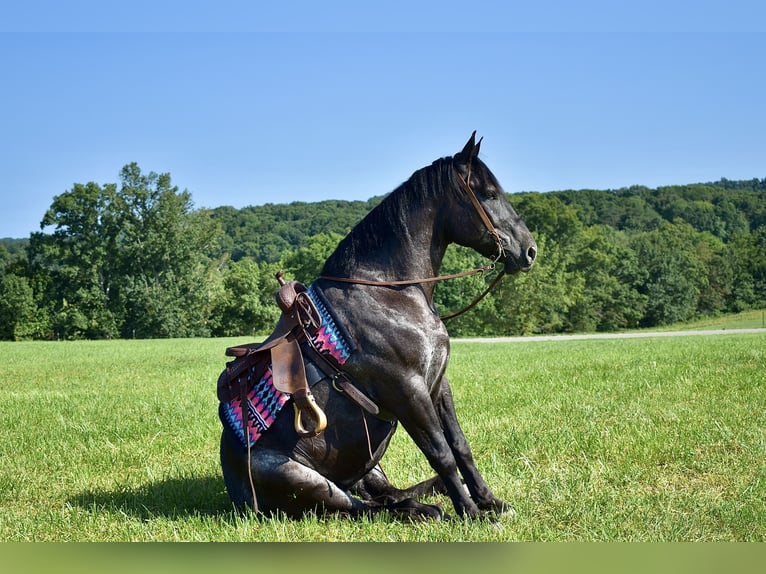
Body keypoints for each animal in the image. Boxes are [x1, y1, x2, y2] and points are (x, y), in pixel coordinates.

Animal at [218, 132, 540, 520]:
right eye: (489, 193)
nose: (529, 251)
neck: (389, 290)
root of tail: (236, 490)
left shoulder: (437, 385)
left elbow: (460, 446)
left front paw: (490, 502)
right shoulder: (407, 390)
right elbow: (442, 454)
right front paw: (472, 513)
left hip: (369, 468)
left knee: (389, 495)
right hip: (310, 482)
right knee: (365, 508)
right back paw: (426, 510)